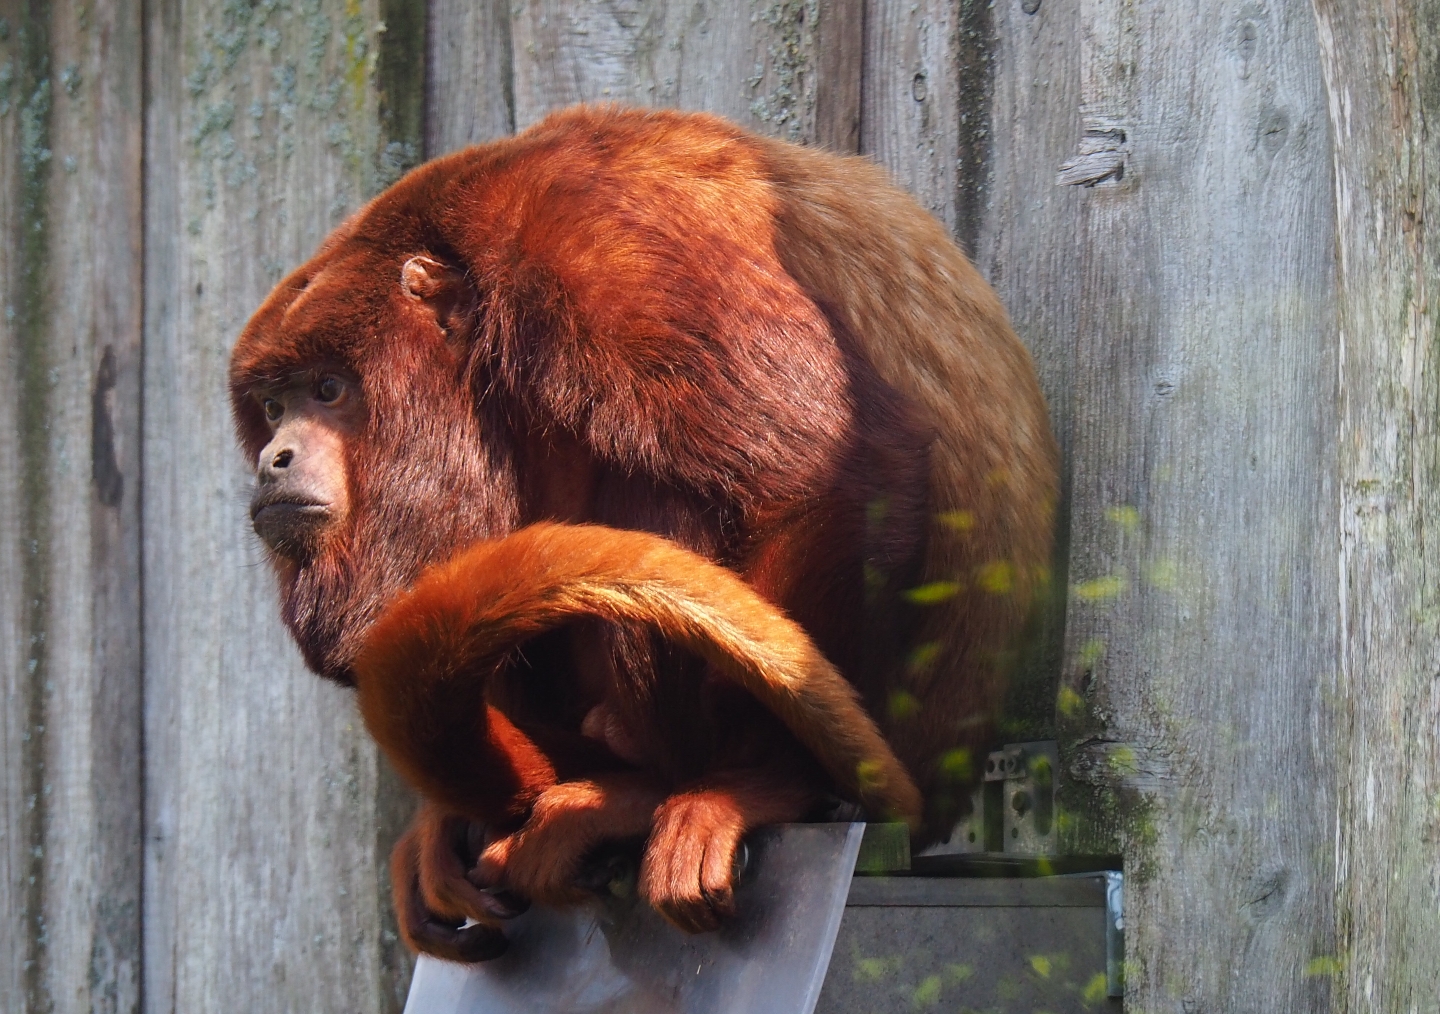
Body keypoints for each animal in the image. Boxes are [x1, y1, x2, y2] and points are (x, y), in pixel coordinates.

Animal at [229, 104, 1058, 961]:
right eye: (272, 405)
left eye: (329, 389)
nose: (272, 459)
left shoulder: (596, 255)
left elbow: (837, 465)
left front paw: (761, 783)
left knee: (665, 489)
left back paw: (643, 792)